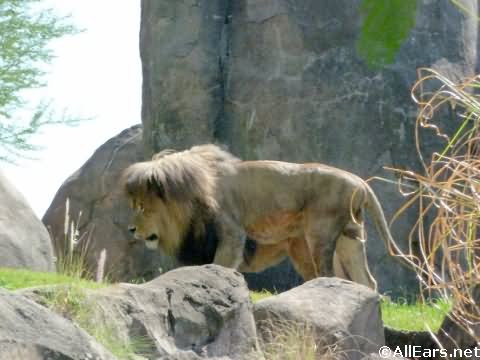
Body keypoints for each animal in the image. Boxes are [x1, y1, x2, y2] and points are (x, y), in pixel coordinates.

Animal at [122, 143, 396, 290]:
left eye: (143, 207)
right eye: (133, 205)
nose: (131, 230)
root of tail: (360, 183)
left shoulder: (232, 233)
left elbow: (219, 265)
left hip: (320, 235)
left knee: (329, 275)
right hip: (348, 239)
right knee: (366, 281)